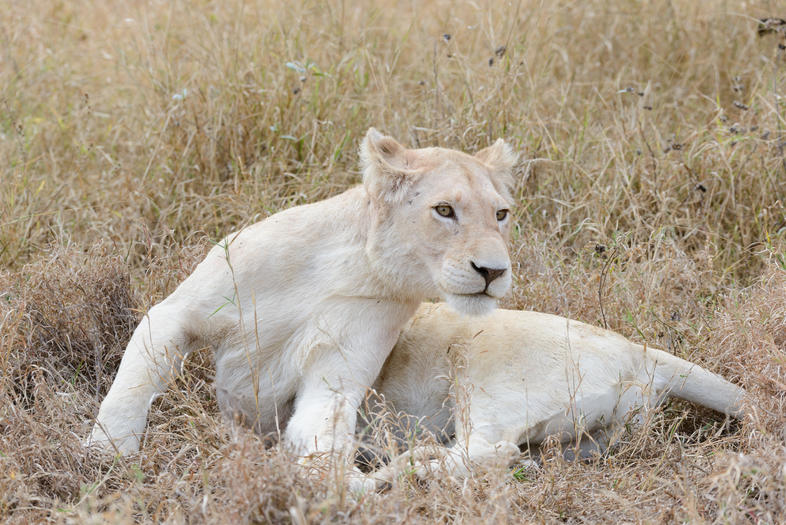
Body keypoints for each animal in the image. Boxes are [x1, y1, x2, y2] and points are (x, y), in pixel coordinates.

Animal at [87, 127, 516, 466]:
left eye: (500, 214)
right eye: (443, 210)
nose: (493, 271)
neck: (354, 265)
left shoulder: (339, 367)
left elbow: (319, 427)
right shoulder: (177, 313)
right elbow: (134, 382)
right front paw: (107, 452)